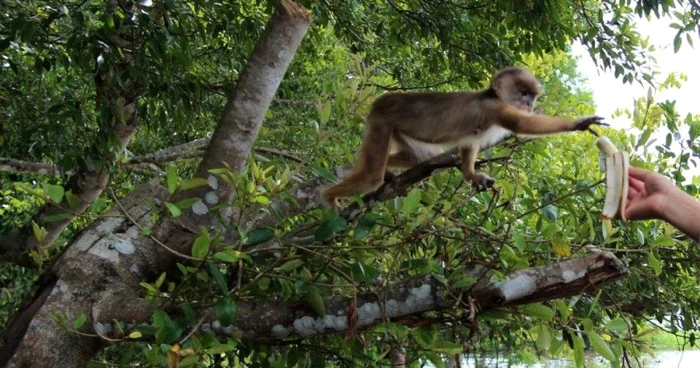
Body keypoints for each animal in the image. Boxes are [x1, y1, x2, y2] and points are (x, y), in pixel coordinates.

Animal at [320, 66, 604, 208]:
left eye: (531, 96)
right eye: (523, 93)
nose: (529, 103)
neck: (493, 96)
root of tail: (384, 100)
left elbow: (469, 143)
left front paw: (471, 175)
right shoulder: (495, 108)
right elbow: (522, 123)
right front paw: (578, 123)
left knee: (421, 159)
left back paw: (391, 175)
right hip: (381, 119)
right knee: (370, 176)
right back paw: (329, 197)